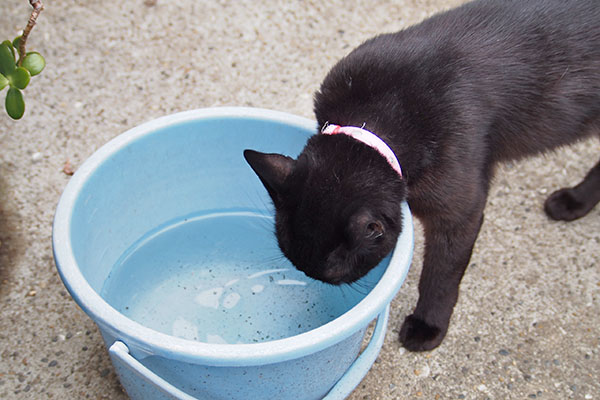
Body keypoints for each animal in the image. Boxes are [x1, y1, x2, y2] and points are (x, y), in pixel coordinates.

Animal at [244, 0, 600, 350]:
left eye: (333, 278)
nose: (315, 282)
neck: (384, 111)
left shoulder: (459, 213)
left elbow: (441, 274)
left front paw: (428, 326)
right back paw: (573, 203)